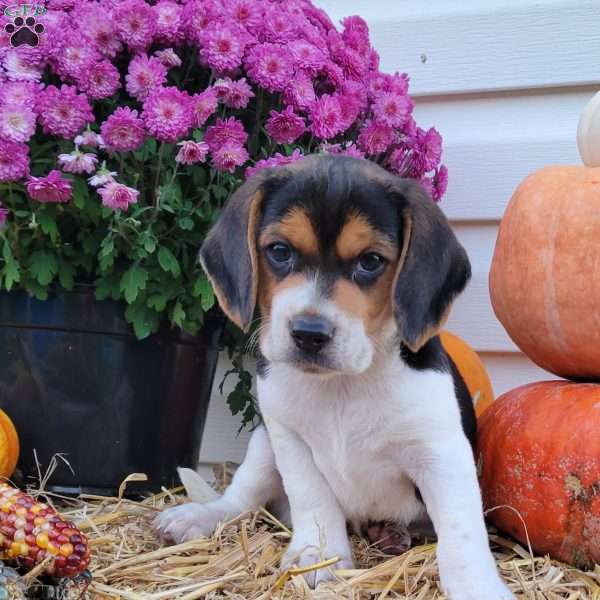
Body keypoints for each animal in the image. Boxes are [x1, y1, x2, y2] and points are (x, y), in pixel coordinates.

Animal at [156, 156, 516, 600]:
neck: (343, 384)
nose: (309, 333)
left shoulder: (440, 452)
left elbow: (460, 530)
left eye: (371, 261)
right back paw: (198, 517)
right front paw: (318, 555)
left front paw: (476, 585)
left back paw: (391, 534)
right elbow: (314, 501)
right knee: (241, 499)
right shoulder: (289, 439)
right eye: (279, 251)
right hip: (263, 443)